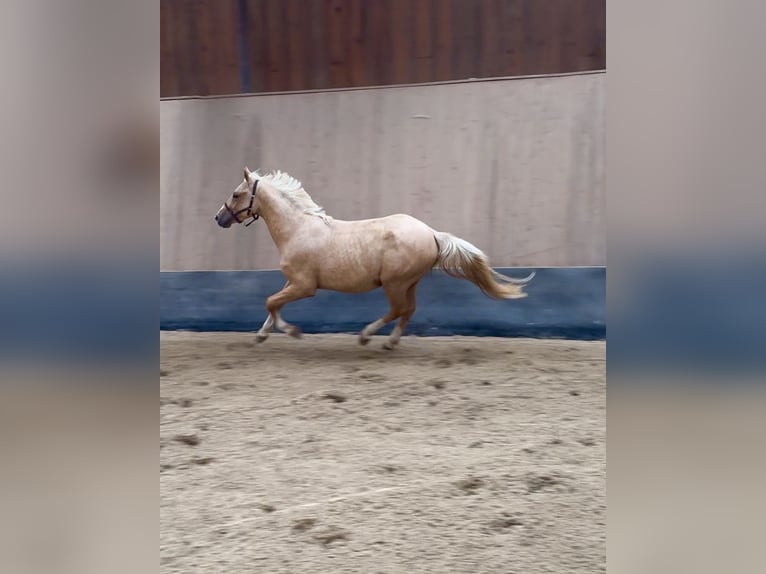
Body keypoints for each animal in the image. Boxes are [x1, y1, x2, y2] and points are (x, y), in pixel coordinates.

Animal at [213, 168, 536, 352]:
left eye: (236, 193)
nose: (219, 218)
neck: (298, 229)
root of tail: (431, 233)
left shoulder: (305, 286)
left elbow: (270, 302)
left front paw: (292, 332)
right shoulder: (293, 282)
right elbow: (273, 304)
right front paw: (261, 336)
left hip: (395, 283)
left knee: (398, 309)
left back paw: (367, 336)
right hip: (410, 283)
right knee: (408, 311)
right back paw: (390, 342)